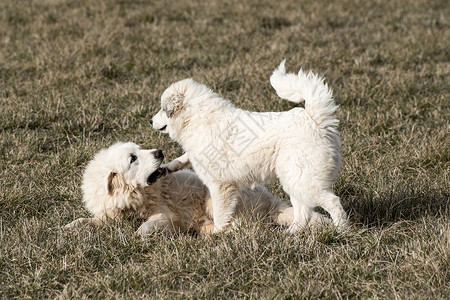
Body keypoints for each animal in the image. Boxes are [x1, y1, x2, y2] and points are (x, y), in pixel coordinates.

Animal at [64, 141, 310, 234]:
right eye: (133, 158)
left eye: (139, 149)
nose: (159, 152)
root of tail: (273, 204)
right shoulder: (110, 215)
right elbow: (88, 220)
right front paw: (70, 226)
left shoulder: (167, 215)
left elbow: (148, 225)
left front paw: (137, 234)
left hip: (215, 198)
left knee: (239, 226)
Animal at [151, 59, 348, 232]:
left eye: (162, 109)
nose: (150, 121)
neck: (197, 118)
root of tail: (314, 119)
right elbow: (184, 158)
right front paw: (169, 167)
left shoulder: (219, 185)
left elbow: (220, 213)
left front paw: (218, 233)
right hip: (295, 179)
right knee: (303, 211)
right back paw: (292, 233)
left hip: (305, 180)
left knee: (332, 202)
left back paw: (341, 230)